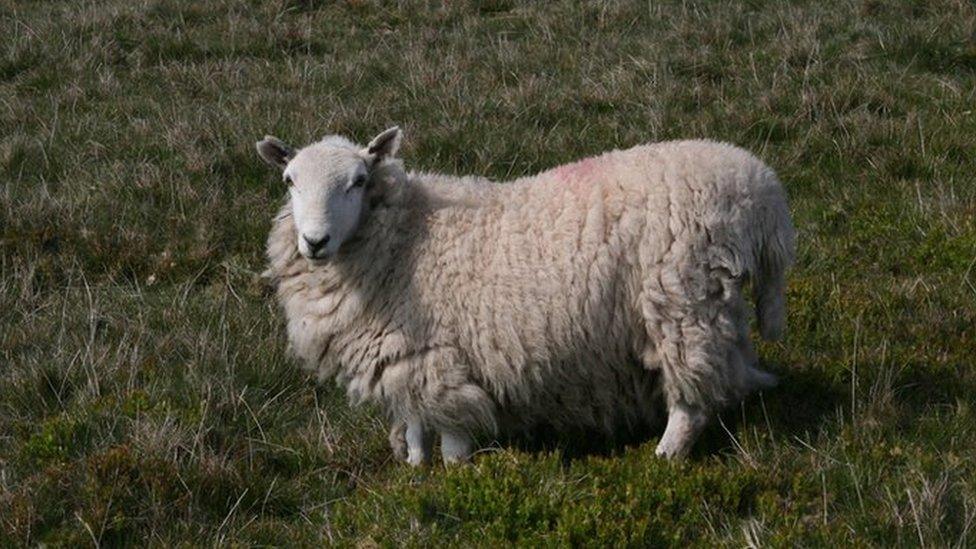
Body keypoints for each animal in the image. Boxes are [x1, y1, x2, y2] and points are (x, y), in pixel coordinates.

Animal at [258, 127, 792, 462]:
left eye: (359, 181)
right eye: (289, 181)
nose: (314, 241)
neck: (403, 237)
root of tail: (762, 189)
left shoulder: (439, 357)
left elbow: (451, 434)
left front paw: (454, 478)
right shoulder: (404, 359)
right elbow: (414, 425)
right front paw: (414, 470)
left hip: (681, 304)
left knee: (691, 401)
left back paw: (664, 458)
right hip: (712, 304)